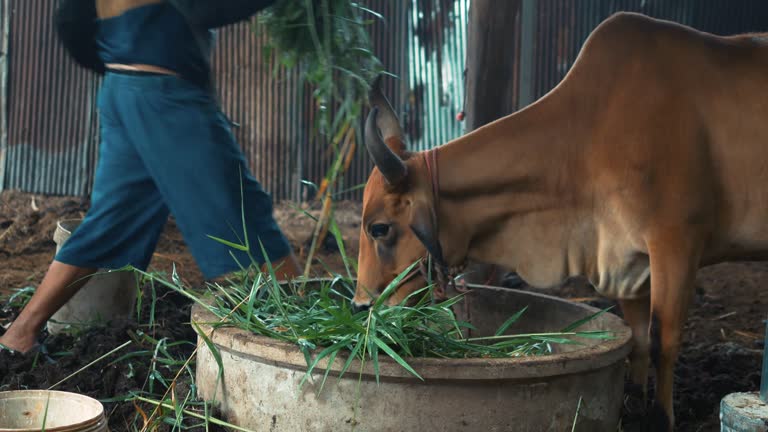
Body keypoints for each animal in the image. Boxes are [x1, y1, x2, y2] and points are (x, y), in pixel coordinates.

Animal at [352, 11, 768, 430]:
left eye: (379, 228)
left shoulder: (676, 243)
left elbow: (662, 338)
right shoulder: (625, 258)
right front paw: (633, 404)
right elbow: (637, 336)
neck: (588, 140)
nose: (359, 306)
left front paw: (660, 418)